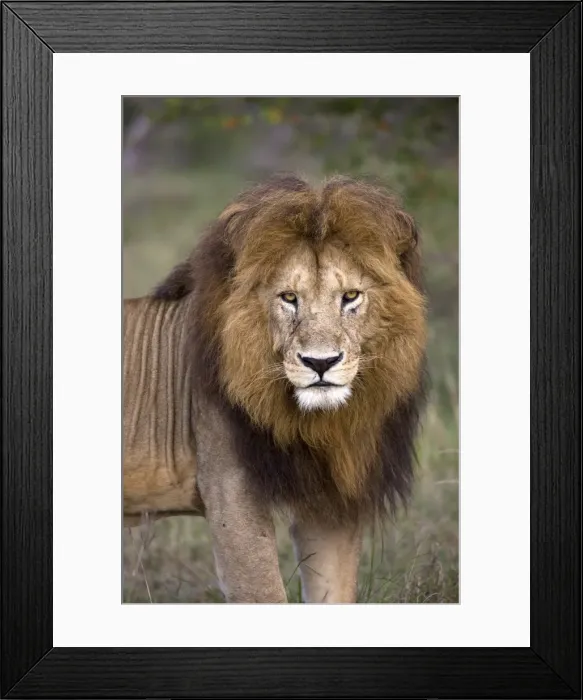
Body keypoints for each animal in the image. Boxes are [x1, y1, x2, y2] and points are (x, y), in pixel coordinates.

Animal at [123, 174, 427, 603]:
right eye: (288, 298)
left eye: (350, 296)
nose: (320, 363)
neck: (315, 425)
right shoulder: (231, 496)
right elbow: (264, 592)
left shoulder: (331, 505)